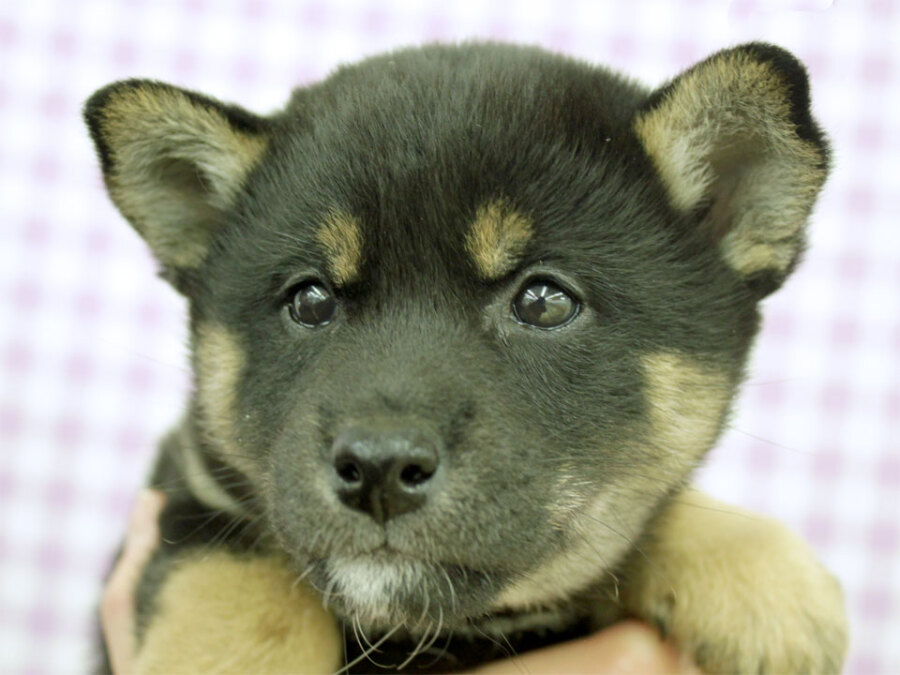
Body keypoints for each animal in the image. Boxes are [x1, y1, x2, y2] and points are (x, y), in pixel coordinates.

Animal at [86, 42, 847, 673]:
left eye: (544, 301)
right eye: (309, 300)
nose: (380, 470)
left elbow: (652, 510)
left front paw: (761, 577)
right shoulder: (194, 483)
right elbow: (232, 578)